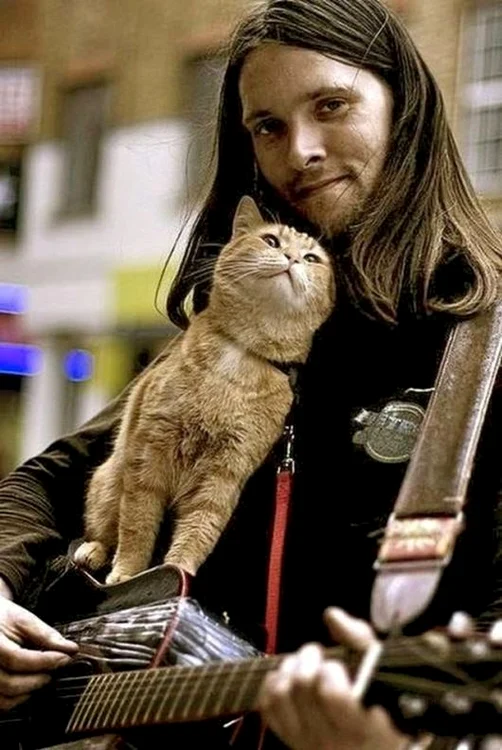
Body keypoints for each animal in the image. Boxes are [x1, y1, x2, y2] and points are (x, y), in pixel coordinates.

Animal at [73, 197, 334, 584]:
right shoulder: (148, 455)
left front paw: (177, 570)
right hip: (109, 479)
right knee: (105, 530)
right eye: (272, 241)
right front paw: (127, 572)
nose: (292, 259)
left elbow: (198, 532)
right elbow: (136, 524)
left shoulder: (224, 474)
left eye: (313, 258)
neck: (240, 353)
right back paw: (93, 551)